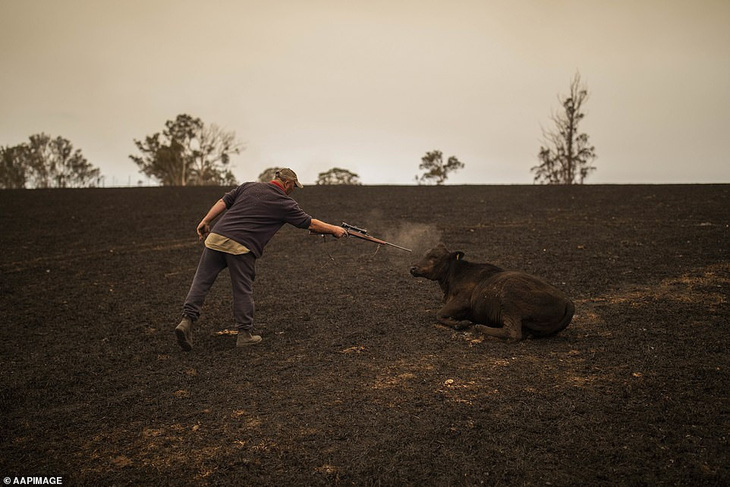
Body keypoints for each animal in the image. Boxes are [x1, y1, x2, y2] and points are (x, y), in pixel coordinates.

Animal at [406, 243, 572, 342]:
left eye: (434, 257)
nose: (413, 268)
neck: (454, 276)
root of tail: (567, 301)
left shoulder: (463, 300)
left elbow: (439, 314)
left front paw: (462, 324)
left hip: (510, 295)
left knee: (513, 333)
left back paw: (479, 327)